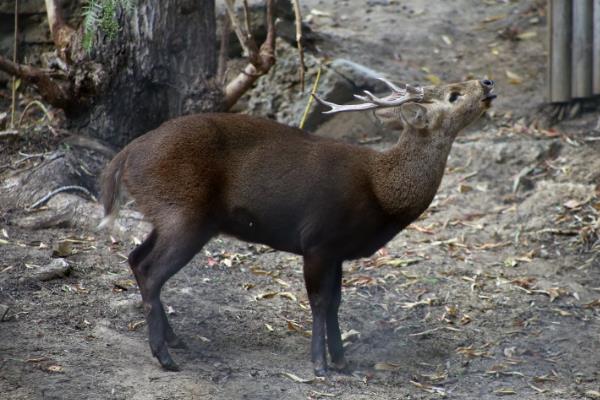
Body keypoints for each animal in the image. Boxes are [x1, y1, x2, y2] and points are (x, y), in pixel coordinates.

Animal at [101, 77, 496, 376]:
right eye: (453, 95)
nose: (487, 83)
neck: (382, 193)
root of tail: (126, 155)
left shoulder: (338, 252)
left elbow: (336, 303)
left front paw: (343, 362)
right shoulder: (318, 239)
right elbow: (319, 302)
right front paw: (320, 365)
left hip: (169, 214)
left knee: (135, 258)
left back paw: (174, 340)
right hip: (184, 212)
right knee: (150, 270)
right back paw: (165, 357)